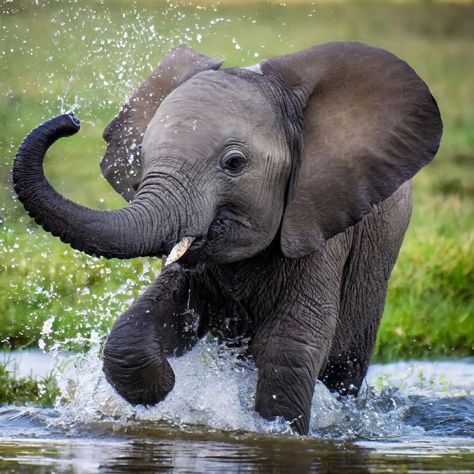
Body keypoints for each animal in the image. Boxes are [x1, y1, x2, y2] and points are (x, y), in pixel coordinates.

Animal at [15, 42, 444, 436]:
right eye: (143, 157)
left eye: (234, 164)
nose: (71, 119)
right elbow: (151, 320)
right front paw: (163, 392)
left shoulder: (319, 221)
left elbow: (288, 345)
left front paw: (278, 431)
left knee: (344, 368)